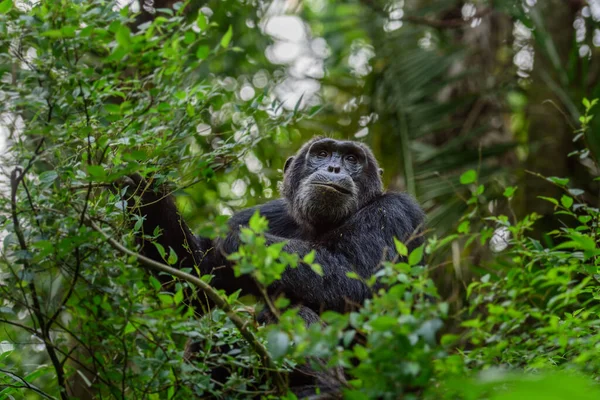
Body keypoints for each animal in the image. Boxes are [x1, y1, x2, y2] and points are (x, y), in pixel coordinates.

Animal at [127, 138, 426, 396]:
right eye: (322, 153)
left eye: (352, 158)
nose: (334, 167)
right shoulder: (269, 213)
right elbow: (196, 281)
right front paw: (144, 190)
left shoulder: (393, 213)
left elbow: (358, 283)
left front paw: (238, 241)